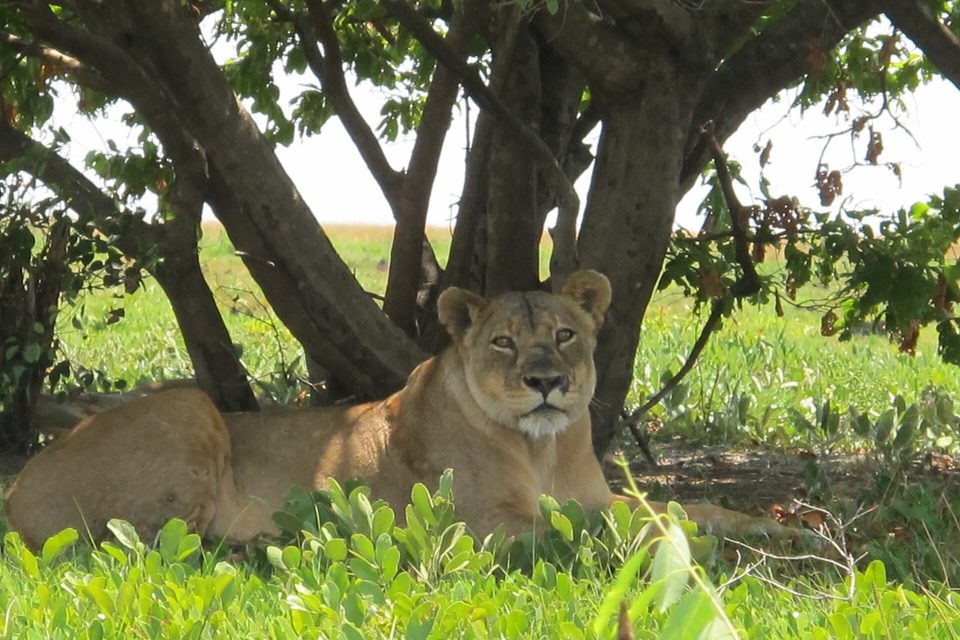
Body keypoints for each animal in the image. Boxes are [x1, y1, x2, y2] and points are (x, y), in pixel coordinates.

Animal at [4, 271, 788, 548]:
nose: (545, 382)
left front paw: (779, 529)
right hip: (190, 407)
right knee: (145, 547)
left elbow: (680, 507)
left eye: (565, 335)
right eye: (504, 342)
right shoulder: (490, 526)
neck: (542, 445)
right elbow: (609, 531)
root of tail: (14, 488)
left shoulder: (588, 493)